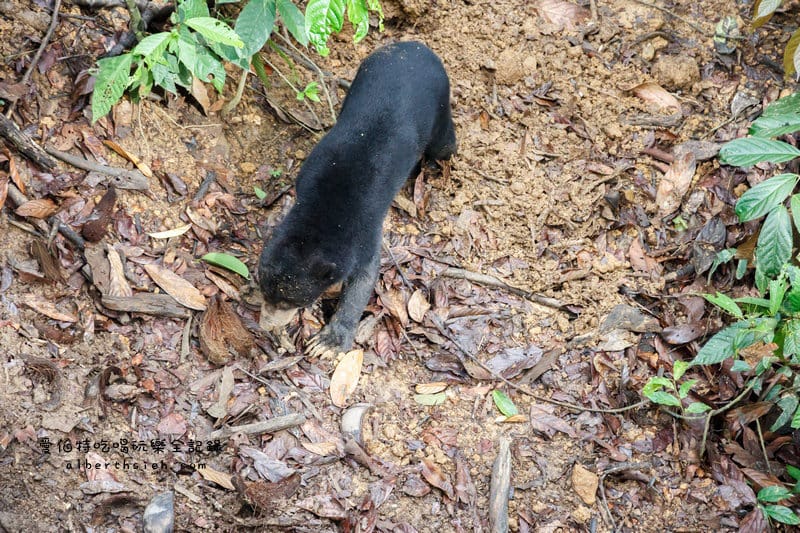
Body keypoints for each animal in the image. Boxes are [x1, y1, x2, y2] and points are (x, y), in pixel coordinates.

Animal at [258, 40, 457, 357]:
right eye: (264, 291)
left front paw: (328, 342)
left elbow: (365, 276)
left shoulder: (364, 230)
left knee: (445, 145)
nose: (265, 325)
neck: (324, 211)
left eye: (291, 302)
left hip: (439, 105)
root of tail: (415, 46)